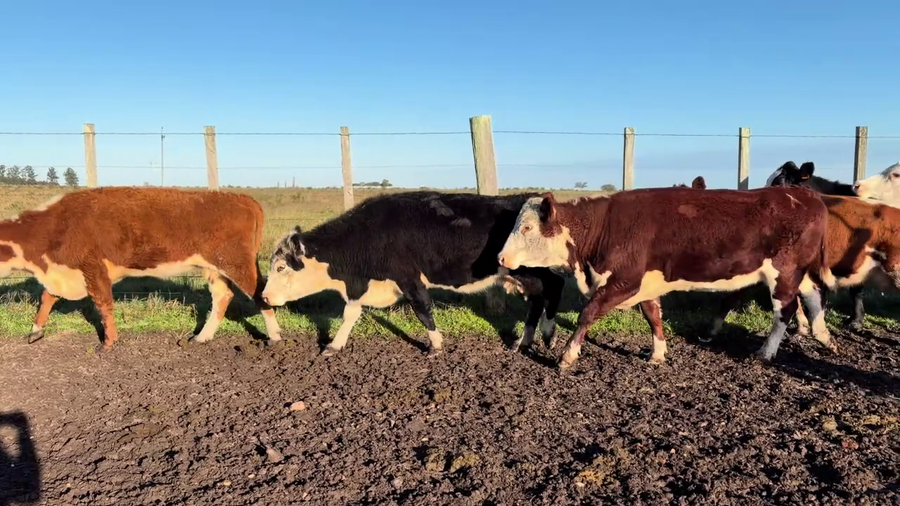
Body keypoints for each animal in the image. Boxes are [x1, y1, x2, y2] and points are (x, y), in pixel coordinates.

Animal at [0, 187, 283, 351]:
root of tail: (242, 198)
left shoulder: (93, 268)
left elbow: (103, 304)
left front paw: (109, 343)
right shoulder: (64, 273)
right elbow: (47, 297)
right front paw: (35, 331)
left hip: (237, 263)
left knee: (260, 293)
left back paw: (275, 337)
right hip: (214, 268)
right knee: (223, 296)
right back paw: (202, 337)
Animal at [260, 191, 566, 357]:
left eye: (280, 267)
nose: (264, 297)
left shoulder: (408, 278)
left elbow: (423, 311)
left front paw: (435, 345)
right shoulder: (361, 284)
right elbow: (350, 314)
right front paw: (334, 346)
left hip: (530, 270)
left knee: (555, 286)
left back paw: (547, 334)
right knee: (538, 299)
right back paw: (525, 341)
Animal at [496, 186, 835, 369]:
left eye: (526, 227)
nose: (500, 258)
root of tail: (806, 195)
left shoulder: (624, 281)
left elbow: (587, 314)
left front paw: (568, 356)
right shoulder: (646, 285)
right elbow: (653, 316)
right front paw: (658, 353)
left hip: (784, 272)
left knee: (784, 311)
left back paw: (766, 352)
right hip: (799, 272)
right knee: (814, 294)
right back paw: (823, 336)